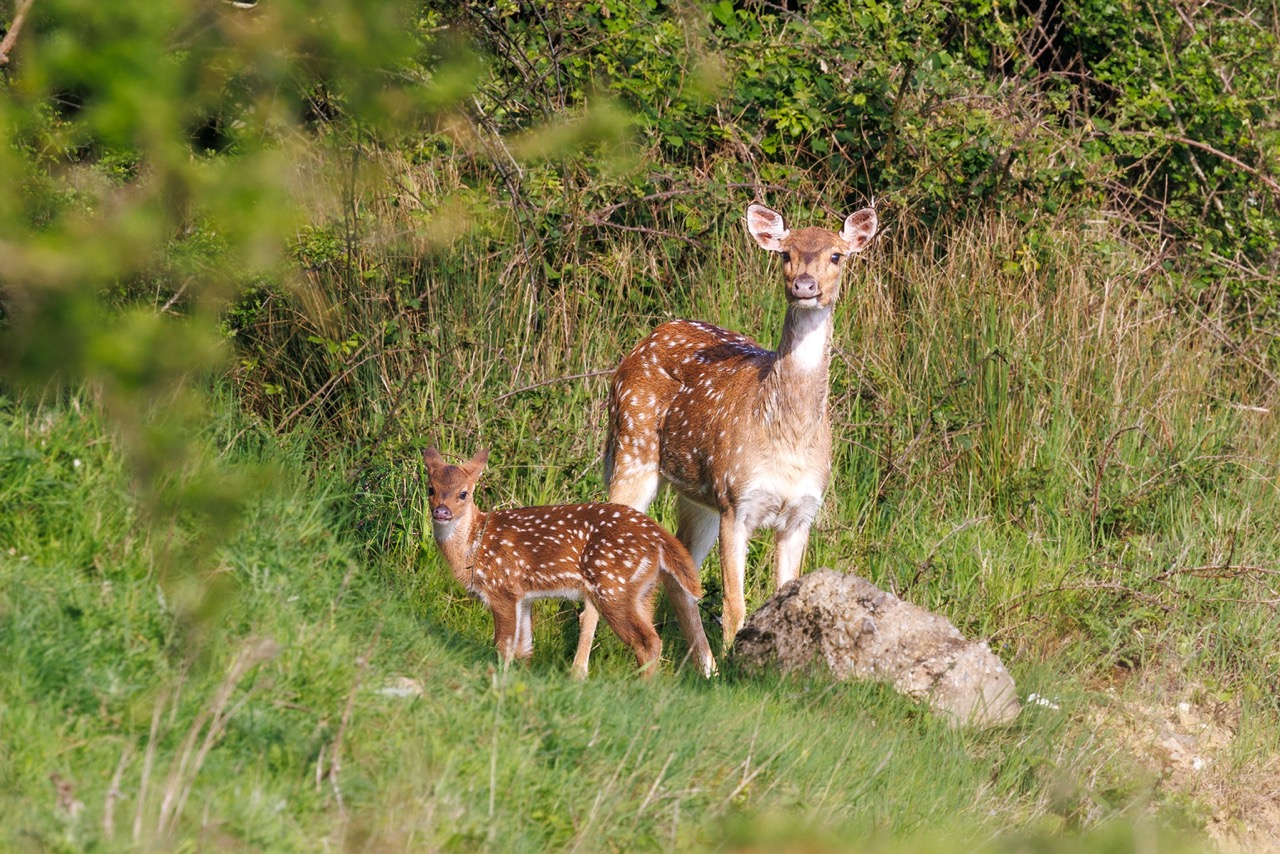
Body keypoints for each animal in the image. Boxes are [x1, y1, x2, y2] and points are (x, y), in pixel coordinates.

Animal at [424, 448, 716, 681]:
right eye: (431, 489)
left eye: (463, 493)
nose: (442, 511)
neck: (474, 548)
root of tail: (659, 536)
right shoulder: (523, 597)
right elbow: (524, 648)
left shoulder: (502, 588)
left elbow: (503, 646)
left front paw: (497, 677)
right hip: (644, 591)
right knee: (652, 637)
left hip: (613, 588)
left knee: (647, 641)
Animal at [573, 201, 880, 660]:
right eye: (785, 253)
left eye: (837, 256)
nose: (804, 285)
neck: (788, 436)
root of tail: (644, 341)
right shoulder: (737, 498)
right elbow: (736, 606)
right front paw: (735, 665)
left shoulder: (802, 511)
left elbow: (785, 597)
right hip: (633, 451)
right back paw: (581, 669)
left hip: (696, 494)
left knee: (679, 578)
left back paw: (703, 667)